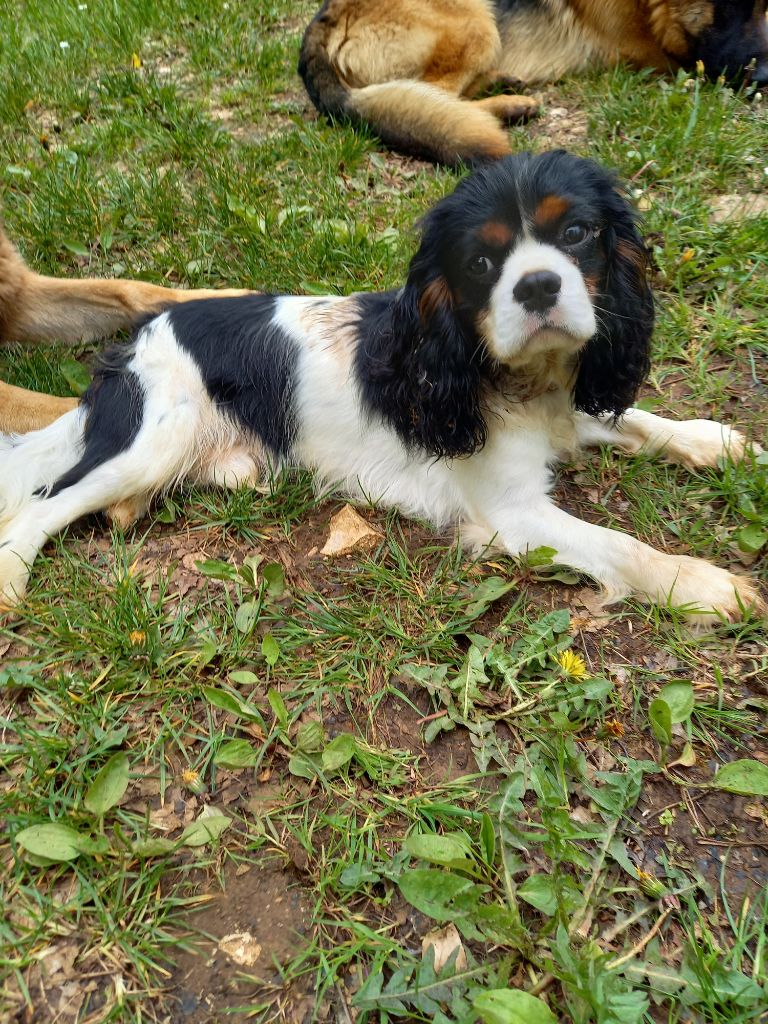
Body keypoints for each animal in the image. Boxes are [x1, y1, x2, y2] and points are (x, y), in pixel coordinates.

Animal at [0, 148, 765, 618]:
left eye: (577, 232)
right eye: (481, 262)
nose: (539, 285)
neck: (514, 377)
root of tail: (130, 347)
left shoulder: (574, 399)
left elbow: (639, 420)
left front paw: (721, 443)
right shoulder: (514, 512)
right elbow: (622, 547)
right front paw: (707, 585)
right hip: (153, 435)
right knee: (42, 504)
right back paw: (12, 577)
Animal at [299, 1, 768, 163]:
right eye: (729, 5)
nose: (764, 78)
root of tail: (325, 18)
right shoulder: (657, 58)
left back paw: (504, 86)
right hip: (473, 21)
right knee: (438, 94)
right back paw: (507, 106)